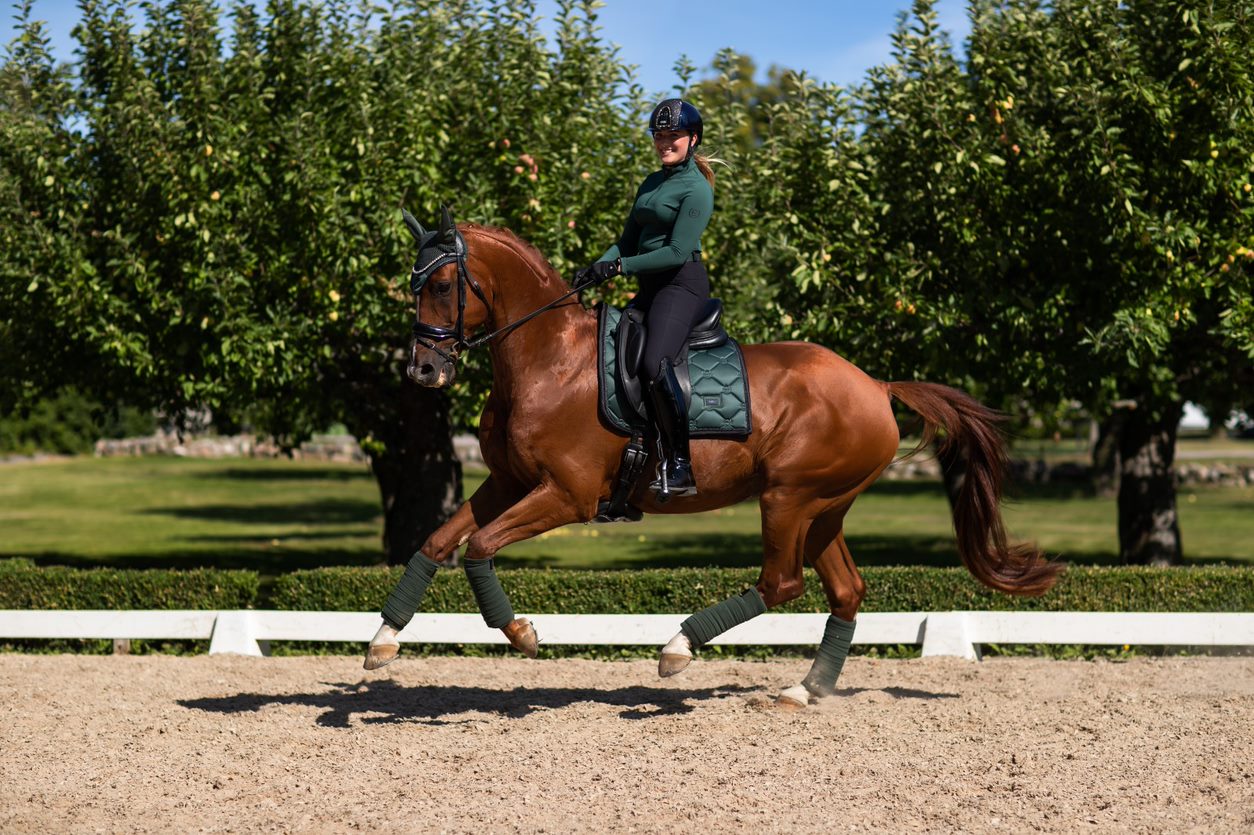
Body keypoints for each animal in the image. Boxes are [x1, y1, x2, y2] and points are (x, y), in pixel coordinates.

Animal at [366, 209, 1063, 702]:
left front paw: (520, 633)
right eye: (413, 284)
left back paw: (678, 648)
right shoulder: (509, 482)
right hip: (823, 509)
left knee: (782, 583)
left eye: (446, 284)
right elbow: (437, 540)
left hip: (788, 499)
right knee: (845, 590)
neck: (547, 360)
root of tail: (874, 384)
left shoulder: (567, 496)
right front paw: (382, 639)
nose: (424, 370)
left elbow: (479, 546)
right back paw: (804, 691)